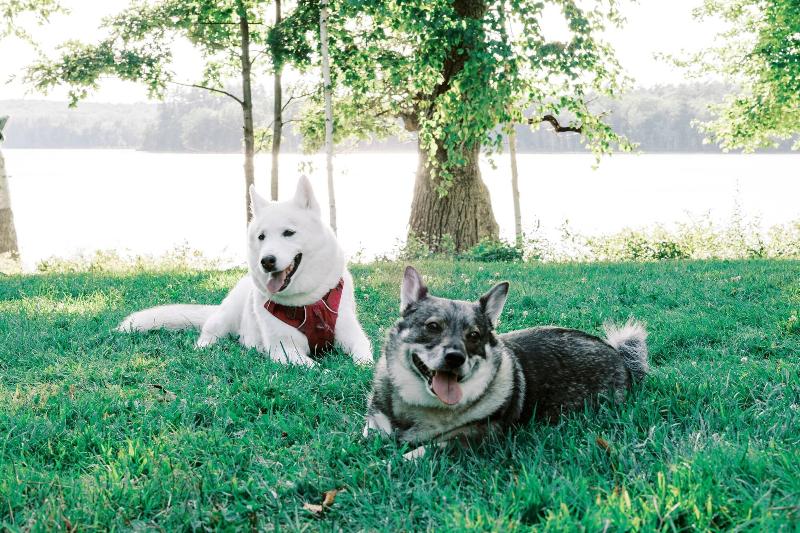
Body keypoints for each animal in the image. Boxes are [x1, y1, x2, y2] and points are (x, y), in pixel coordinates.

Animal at [118, 177, 373, 367]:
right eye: (261, 236)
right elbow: (314, 366)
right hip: (224, 318)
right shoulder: (284, 349)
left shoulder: (352, 335)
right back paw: (206, 346)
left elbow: (364, 355)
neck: (308, 303)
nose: (266, 261)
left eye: (289, 233)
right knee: (208, 331)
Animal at [364, 266, 648, 451]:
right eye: (433, 327)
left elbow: (421, 451)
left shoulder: (473, 437)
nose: (455, 358)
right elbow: (368, 435)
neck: (424, 406)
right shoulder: (372, 424)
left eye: (474, 335)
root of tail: (617, 353)